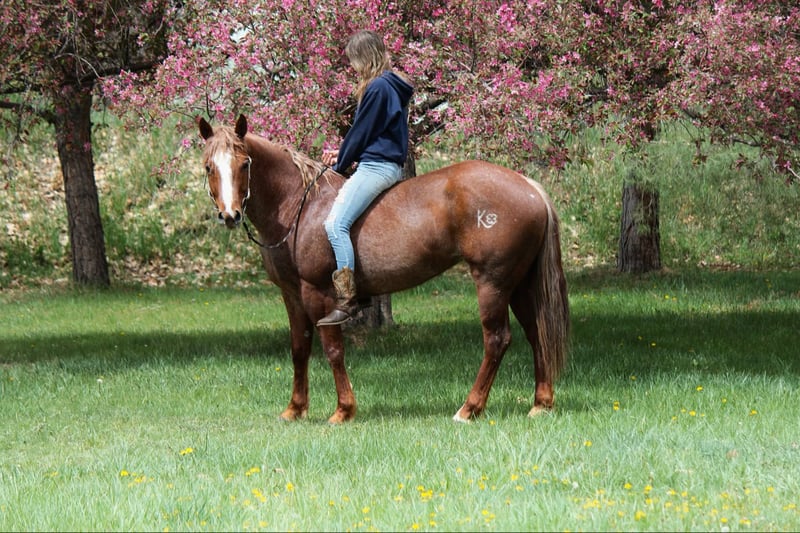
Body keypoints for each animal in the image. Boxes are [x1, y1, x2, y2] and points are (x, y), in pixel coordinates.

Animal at [197, 114, 569, 424]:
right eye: (208, 167)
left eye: (245, 163)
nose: (229, 215)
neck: (300, 205)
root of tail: (529, 188)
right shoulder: (291, 294)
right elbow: (299, 348)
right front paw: (295, 409)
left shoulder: (318, 293)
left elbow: (332, 349)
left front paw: (343, 410)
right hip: (520, 284)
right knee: (536, 333)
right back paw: (540, 403)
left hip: (492, 283)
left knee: (497, 339)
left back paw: (469, 408)